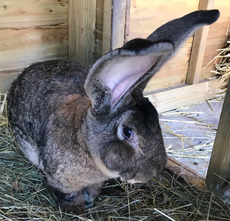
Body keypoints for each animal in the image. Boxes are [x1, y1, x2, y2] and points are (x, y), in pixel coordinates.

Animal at [7, 9, 219, 213]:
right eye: (127, 132)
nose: (155, 170)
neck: (83, 141)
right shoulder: (61, 182)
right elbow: (69, 196)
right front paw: (77, 210)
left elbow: (94, 189)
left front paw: (91, 200)